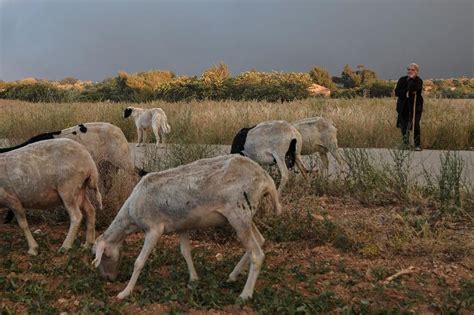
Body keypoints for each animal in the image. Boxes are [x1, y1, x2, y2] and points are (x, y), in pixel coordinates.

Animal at [92, 155, 282, 302]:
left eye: (103, 255)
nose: (109, 279)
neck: (131, 215)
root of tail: (267, 180)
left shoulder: (153, 229)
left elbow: (139, 262)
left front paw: (124, 292)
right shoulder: (181, 226)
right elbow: (185, 252)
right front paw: (193, 279)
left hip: (239, 212)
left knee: (257, 254)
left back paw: (245, 294)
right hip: (245, 216)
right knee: (260, 240)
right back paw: (233, 276)